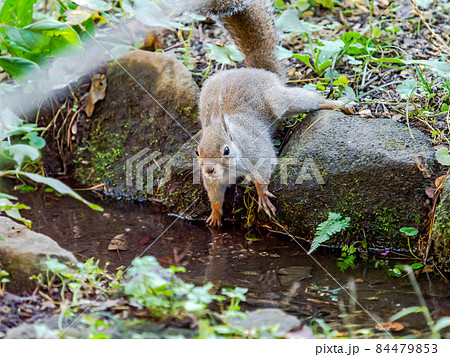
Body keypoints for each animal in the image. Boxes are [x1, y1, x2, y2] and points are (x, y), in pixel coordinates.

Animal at [181, 0, 350, 227]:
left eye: (226, 150)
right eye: (197, 152)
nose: (208, 169)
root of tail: (259, 71)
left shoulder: (257, 151)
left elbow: (263, 173)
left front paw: (261, 193)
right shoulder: (214, 182)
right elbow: (215, 196)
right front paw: (215, 215)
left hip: (279, 100)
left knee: (308, 100)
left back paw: (337, 104)